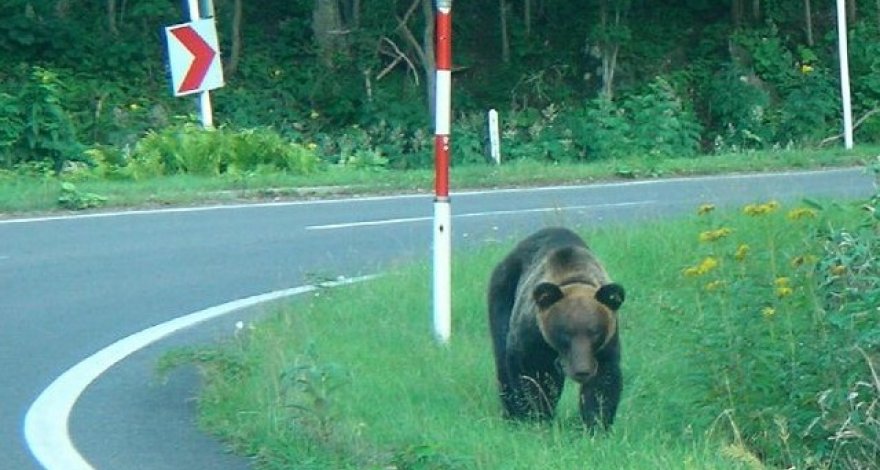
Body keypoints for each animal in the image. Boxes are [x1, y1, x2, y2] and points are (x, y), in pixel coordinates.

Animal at [487, 226, 625, 430]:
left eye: (595, 332)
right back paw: (511, 414)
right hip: (503, 292)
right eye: (565, 333)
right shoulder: (533, 338)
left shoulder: (606, 345)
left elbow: (603, 383)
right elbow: (531, 377)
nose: (582, 370)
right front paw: (535, 415)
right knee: (502, 360)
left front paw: (597, 423)